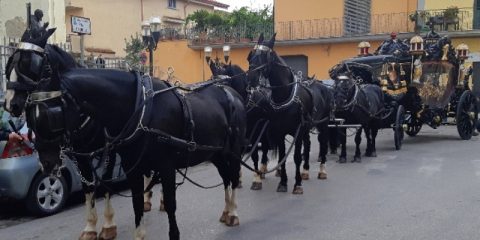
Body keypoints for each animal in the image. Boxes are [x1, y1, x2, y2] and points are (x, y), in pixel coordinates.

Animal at [6, 27, 248, 240]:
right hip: (216, 153)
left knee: (233, 176)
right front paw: (113, 230)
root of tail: (231, 92)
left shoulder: (162, 165)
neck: (139, 108)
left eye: (52, 114)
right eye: (32, 115)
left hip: (233, 151)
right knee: (226, 177)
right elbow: (130, 201)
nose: (47, 163)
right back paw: (227, 211)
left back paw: (234, 212)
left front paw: (109, 226)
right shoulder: (127, 166)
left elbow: (168, 203)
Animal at [246, 33, 332, 194]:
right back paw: (305, 171)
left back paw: (322, 170)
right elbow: (282, 156)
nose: (251, 79)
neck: (284, 95)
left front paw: (297, 184)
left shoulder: (297, 131)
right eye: (251, 56)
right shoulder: (279, 132)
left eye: (266, 56)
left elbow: (297, 156)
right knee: (308, 144)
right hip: (306, 128)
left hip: (322, 125)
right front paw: (283, 182)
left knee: (323, 144)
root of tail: (323, 85)